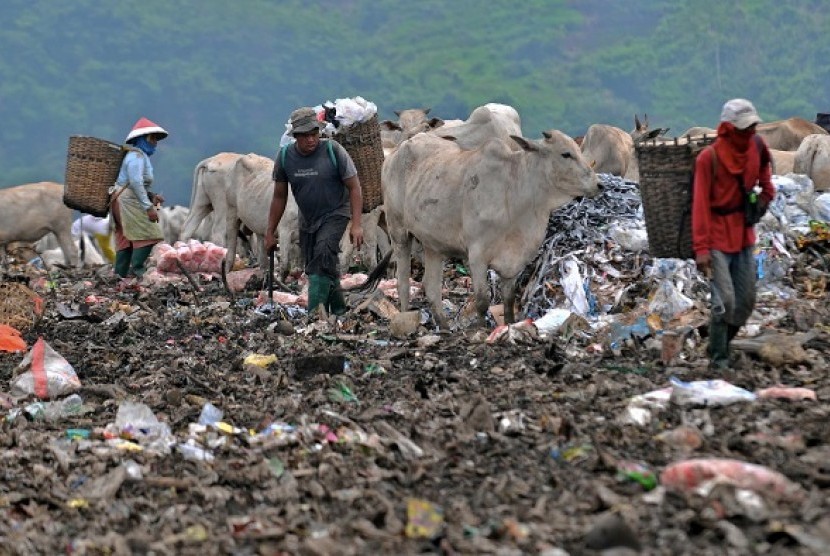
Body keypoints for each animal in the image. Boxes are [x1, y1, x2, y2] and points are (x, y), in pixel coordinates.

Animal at [384, 130, 600, 326]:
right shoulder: (477, 255)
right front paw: (481, 329)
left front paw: (510, 325)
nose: (598, 184)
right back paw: (406, 317)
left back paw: (445, 327)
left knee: (431, 287)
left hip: (433, 244)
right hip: (398, 231)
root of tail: (397, 150)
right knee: (402, 281)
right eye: (566, 154)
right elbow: (482, 300)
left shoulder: (513, 263)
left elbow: (509, 299)